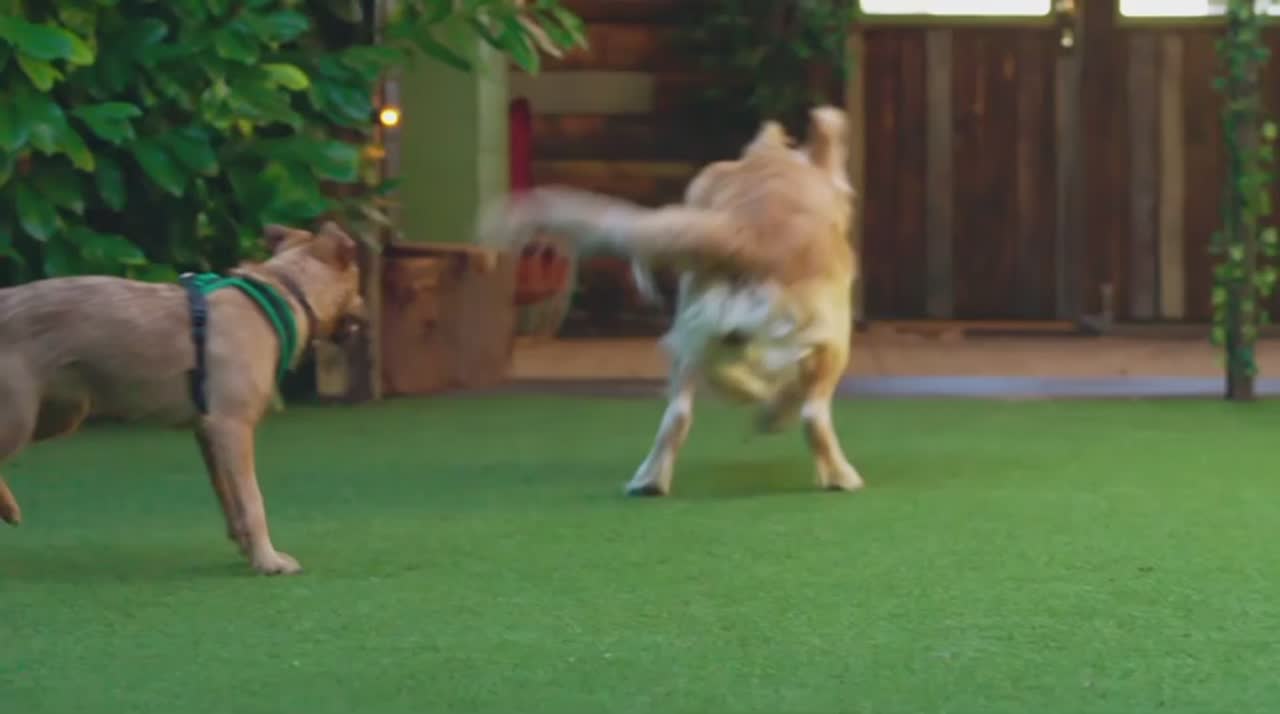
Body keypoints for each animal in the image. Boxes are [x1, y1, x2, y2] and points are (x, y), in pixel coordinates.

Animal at [0, 221, 365, 574]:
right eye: (358, 280)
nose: (366, 314)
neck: (283, 290)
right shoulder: (232, 427)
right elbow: (252, 500)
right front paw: (268, 560)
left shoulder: (209, 433)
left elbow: (231, 501)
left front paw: (249, 551)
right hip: (19, 420)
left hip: (63, 413)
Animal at [482, 105, 862, 496]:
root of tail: (747, 238)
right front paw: (772, 415)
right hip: (832, 342)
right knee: (812, 414)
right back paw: (839, 474)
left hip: (693, 341)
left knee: (678, 414)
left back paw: (651, 478)